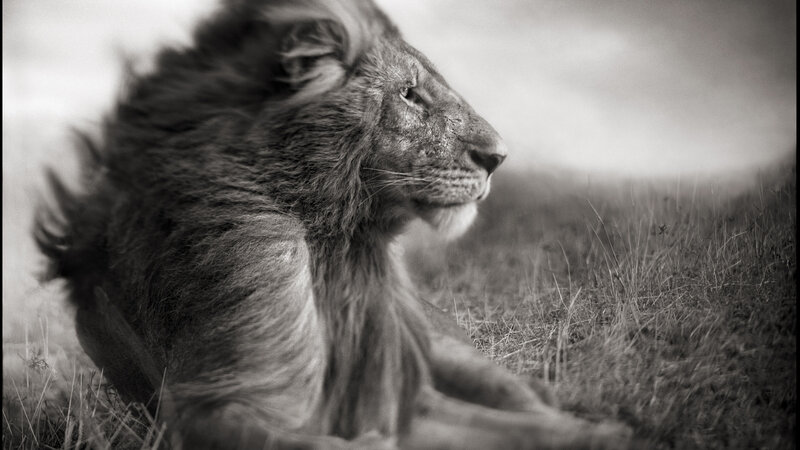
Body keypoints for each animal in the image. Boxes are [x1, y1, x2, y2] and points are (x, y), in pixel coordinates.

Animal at [34, 0, 632, 448]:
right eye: (409, 94)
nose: (499, 158)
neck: (336, 244)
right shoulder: (217, 406)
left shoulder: (402, 398)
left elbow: (528, 429)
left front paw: (607, 434)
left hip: (446, 350)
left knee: (521, 395)